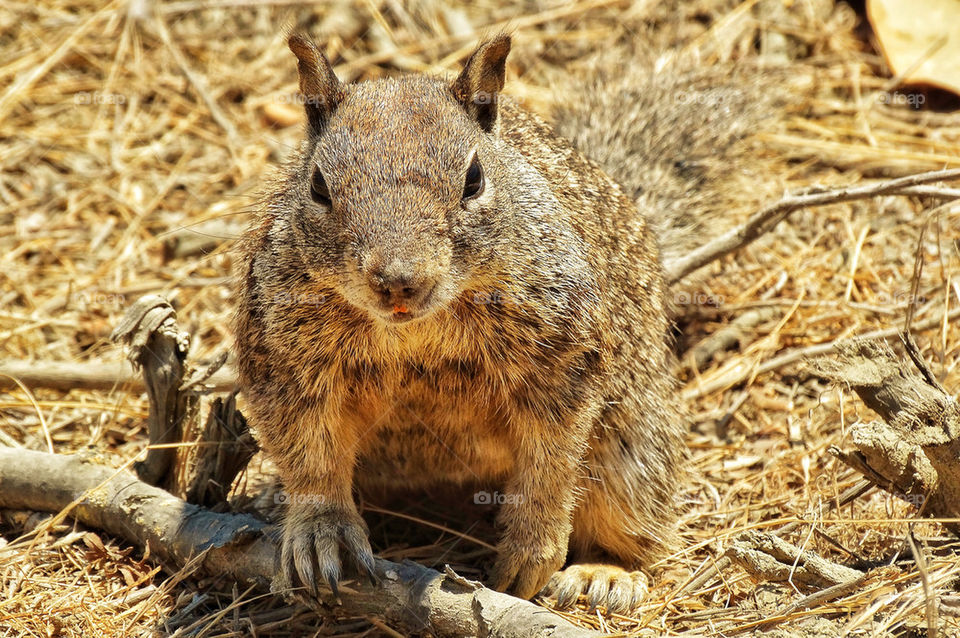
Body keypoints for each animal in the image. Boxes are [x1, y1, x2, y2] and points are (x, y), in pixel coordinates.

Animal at [232, 32, 768, 614]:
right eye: (317, 186)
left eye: (474, 179)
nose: (399, 281)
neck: (412, 329)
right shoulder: (280, 359)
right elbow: (309, 454)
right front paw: (320, 528)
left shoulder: (562, 358)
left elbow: (551, 462)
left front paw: (533, 547)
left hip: (632, 448)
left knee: (630, 518)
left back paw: (603, 574)